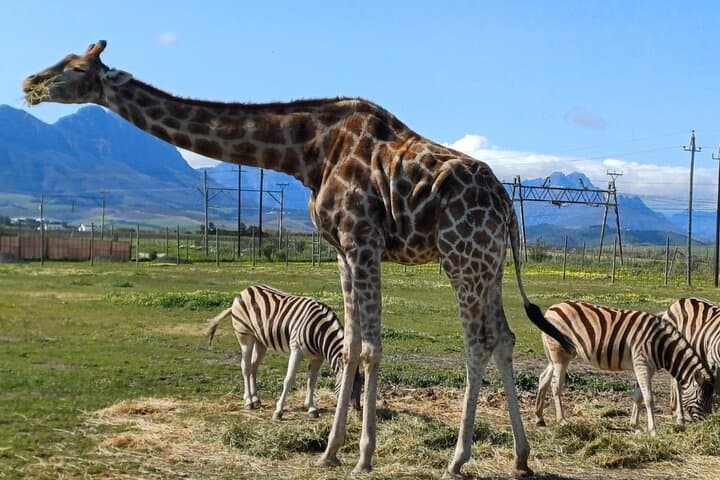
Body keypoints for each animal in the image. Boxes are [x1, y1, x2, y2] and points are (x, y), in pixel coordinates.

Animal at [23, 40, 574, 478]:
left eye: (74, 67)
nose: (29, 82)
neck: (306, 152)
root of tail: (507, 205)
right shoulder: (342, 251)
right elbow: (350, 345)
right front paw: (330, 450)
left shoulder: (361, 239)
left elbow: (370, 348)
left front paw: (363, 456)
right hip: (488, 263)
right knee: (504, 337)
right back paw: (521, 458)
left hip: (462, 256)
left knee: (478, 342)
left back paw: (458, 459)